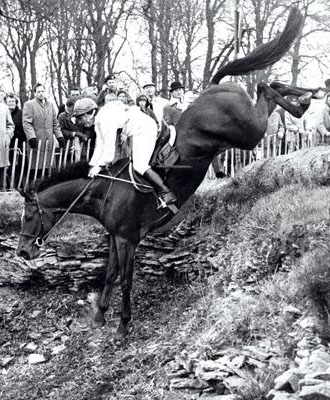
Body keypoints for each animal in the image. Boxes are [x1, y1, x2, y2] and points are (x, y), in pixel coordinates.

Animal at [16, 7, 324, 338]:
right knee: (270, 87)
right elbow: (110, 274)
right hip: (246, 132)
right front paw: (100, 314)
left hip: (248, 132)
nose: (22, 253)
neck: (104, 193)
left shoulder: (127, 238)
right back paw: (309, 96)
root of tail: (215, 87)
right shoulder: (115, 237)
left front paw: (123, 324)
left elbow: (125, 279)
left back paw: (306, 100)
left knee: (265, 88)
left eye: (29, 216)